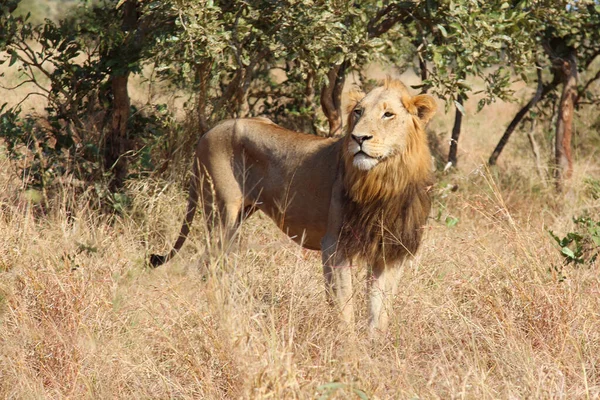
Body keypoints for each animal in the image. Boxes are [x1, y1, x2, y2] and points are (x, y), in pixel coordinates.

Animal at [151, 79, 436, 334]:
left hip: (240, 214)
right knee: (209, 263)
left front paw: (372, 348)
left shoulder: (390, 251)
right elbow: (344, 307)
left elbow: (380, 311)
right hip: (221, 211)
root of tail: (209, 131)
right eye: (358, 112)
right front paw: (346, 348)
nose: (358, 138)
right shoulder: (335, 244)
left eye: (388, 114)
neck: (385, 180)